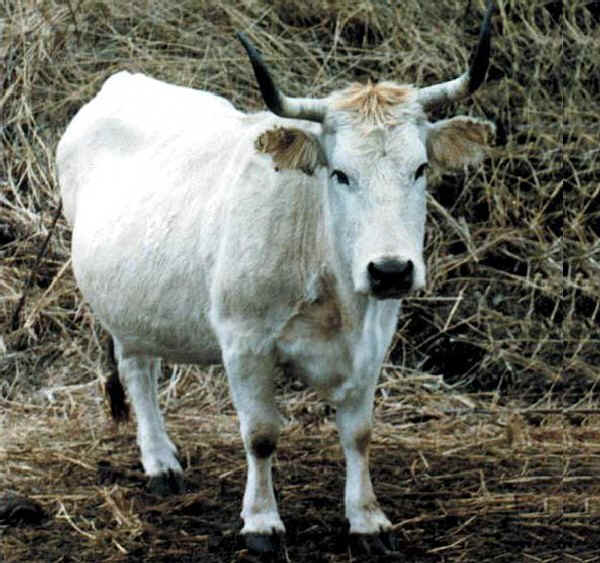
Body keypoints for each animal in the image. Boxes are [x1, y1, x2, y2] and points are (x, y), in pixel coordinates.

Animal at [57, 0, 496, 556]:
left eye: (419, 169)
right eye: (340, 173)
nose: (390, 270)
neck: (332, 289)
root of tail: (123, 83)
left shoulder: (373, 339)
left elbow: (359, 433)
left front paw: (367, 519)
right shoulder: (244, 343)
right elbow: (261, 435)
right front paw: (262, 522)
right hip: (121, 308)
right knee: (138, 371)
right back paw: (160, 462)